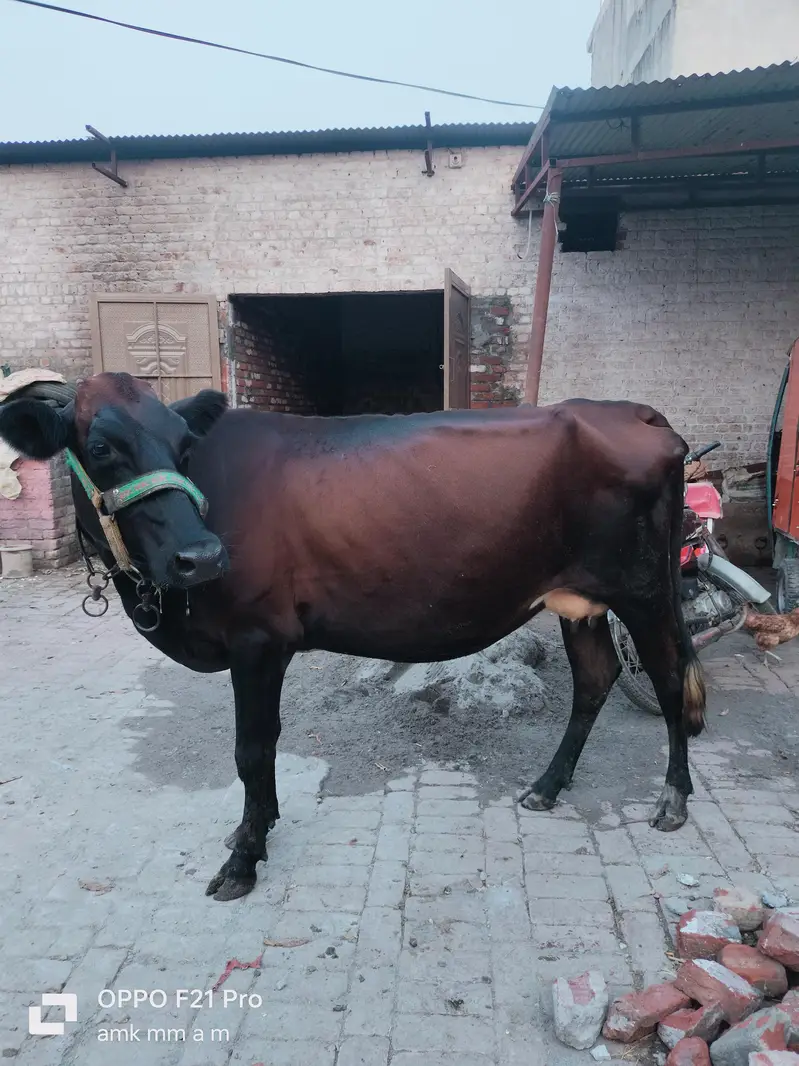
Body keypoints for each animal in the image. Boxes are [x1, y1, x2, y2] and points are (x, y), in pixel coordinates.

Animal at [0, 372, 705, 902]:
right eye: (103, 448)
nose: (202, 556)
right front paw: (254, 831)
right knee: (594, 680)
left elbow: (252, 749)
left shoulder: (258, 637)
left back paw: (673, 800)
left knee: (670, 680)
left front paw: (244, 857)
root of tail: (633, 412)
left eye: (182, 446)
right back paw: (547, 786)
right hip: (581, 599)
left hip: (645, 591)